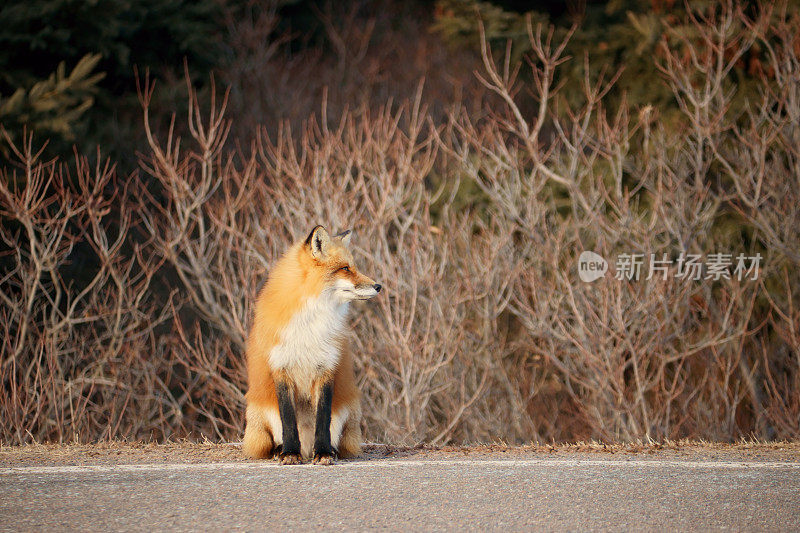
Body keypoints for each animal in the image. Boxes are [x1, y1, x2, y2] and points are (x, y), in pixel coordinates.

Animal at [242, 224, 382, 462]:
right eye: (345, 268)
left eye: (352, 267)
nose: (378, 286)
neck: (310, 321)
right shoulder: (281, 368)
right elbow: (288, 420)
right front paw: (290, 453)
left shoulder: (326, 368)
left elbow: (323, 419)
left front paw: (324, 451)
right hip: (260, 411)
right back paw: (282, 450)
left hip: (350, 408)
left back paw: (327, 450)